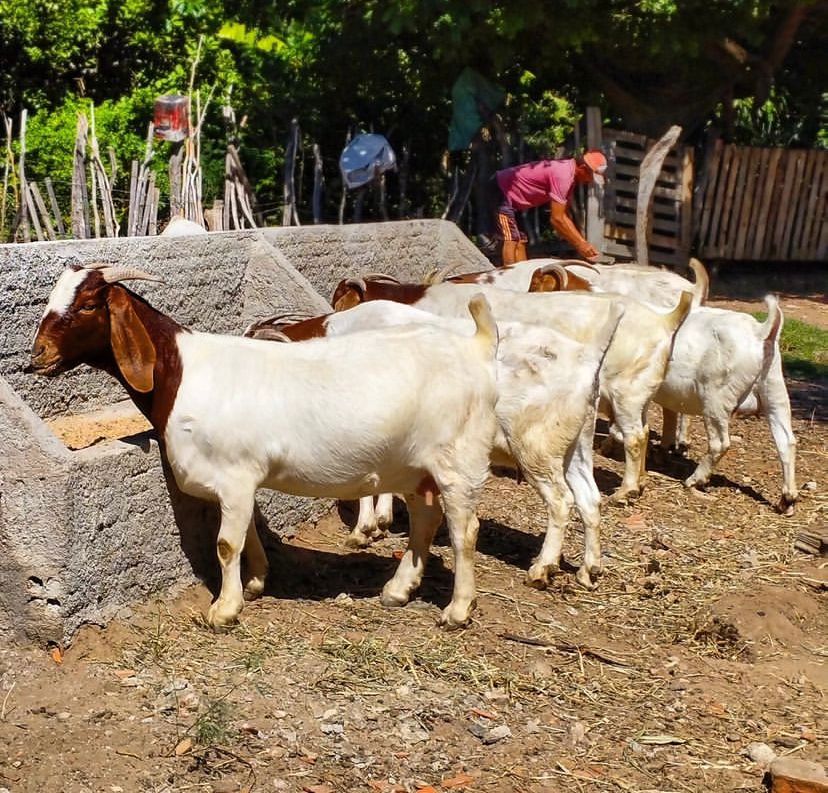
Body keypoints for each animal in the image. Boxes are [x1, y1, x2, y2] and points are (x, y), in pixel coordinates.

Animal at [30, 262, 498, 628]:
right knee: (425, 519)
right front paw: (255, 582)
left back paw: (457, 611)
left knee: (464, 530)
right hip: (415, 467)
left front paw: (224, 609)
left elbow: (225, 544)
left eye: (88, 304)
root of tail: (475, 347)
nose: (38, 355)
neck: (181, 372)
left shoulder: (235, 474)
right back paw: (398, 590)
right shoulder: (238, 482)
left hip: (457, 462)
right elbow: (247, 531)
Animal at [249, 296, 624, 588]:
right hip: (576, 443)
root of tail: (589, 360)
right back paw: (589, 570)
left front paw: (363, 530)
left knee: (561, 501)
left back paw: (541, 569)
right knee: (589, 499)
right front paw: (381, 523)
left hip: (535, 446)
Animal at [330, 278, 692, 502]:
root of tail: (665, 320)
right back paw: (639, 482)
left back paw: (625, 491)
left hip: (626, 392)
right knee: (644, 430)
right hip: (638, 394)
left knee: (635, 436)